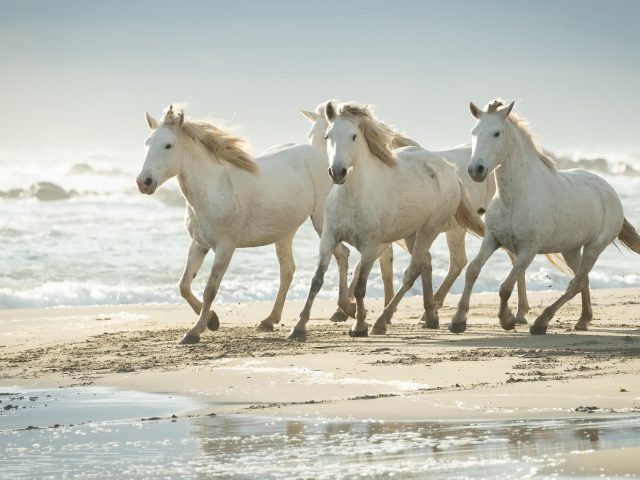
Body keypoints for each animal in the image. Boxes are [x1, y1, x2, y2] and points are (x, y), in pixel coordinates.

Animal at [137, 106, 352, 344]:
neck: (213, 190)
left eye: (168, 145)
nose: (143, 182)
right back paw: (270, 320)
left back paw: (344, 310)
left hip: (322, 223)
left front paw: (196, 331)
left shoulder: (225, 247)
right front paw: (212, 320)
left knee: (342, 255)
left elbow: (210, 289)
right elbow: (184, 285)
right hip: (285, 233)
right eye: (147, 143)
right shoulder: (199, 244)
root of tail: (326, 161)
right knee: (288, 270)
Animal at [300, 102, 528, 324]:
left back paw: (519, 312)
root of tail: (451, 170)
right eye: (323, 136)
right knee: (454, 262)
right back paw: (431, 311)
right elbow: (382, 270)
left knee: (494, 258)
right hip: (442, 230)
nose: (336, 172)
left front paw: (357, 312)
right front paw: (357, 310)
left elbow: (366, 272)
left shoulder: (377, 241)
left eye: (353, 136)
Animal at [450, 100, 640, 334]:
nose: (476, 169)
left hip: (594, 247)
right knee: (583, 280)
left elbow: (505, 287)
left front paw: (507, 319)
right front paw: (458, 320)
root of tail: (610, 191)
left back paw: (542, 322)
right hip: (571, 249)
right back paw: (582, 320)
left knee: (576, 283)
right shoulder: (492, 240)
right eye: (474, 132)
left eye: (496, 133)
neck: (515, 197)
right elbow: (473, 271)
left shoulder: (527, 251)